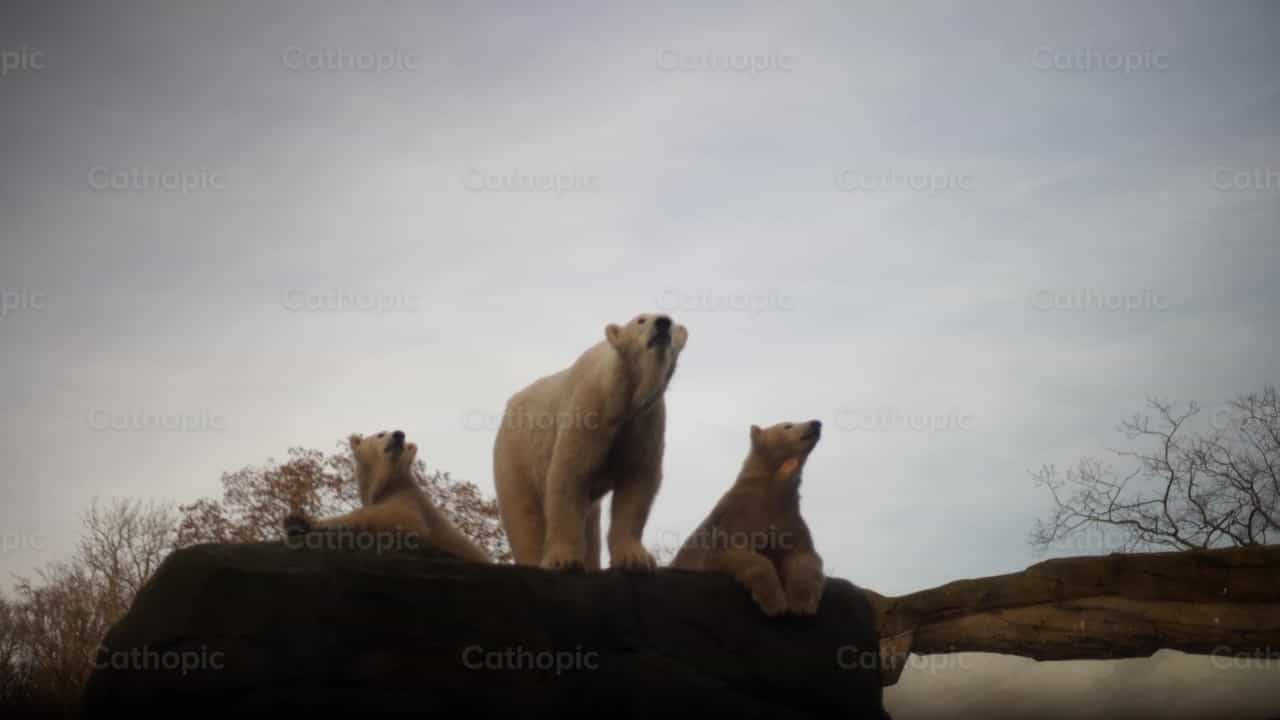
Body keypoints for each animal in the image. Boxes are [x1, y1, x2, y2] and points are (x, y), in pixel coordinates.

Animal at [284, 430, 491, 564]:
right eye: (380, 434)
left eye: (406, 442)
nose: (399, 434)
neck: (389, 485)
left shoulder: (409, 502)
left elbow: (395, 521)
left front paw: (300, 521)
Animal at [493, 312, 688, 572]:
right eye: (640, 320)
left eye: (673, 322)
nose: (663, 323)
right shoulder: (590, 409)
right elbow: (569, 473)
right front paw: (563, 560)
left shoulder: (645, 420)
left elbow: (638, 481)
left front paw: (635, 558)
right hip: (514, 454)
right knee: (523, 514)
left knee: (590, 521)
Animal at [669, 419, 825, 616]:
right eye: (787, 425)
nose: (816, 423)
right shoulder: (738, 515)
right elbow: (733, 551)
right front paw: (774, 602)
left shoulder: (790, 516)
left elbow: (803, 554)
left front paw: (803, 603)